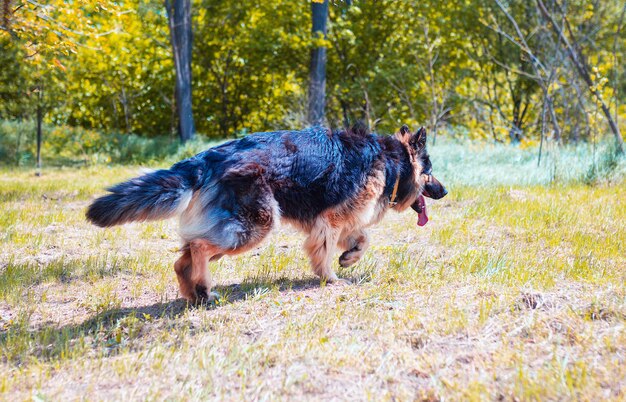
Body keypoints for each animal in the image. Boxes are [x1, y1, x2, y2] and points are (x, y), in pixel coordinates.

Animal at [85, 125, 446, 302]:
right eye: (430, 172)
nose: (445, 192)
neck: (390, 160)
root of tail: (205, 158)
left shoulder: (339, 218)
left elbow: (362, 237)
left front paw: (350, 257)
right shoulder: (330, 220)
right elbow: (327, 250)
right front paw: (330, 278)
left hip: (231, 227)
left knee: (181, 259)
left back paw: (194, 293)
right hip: (255, 225)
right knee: (198, 248)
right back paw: (204, 289)